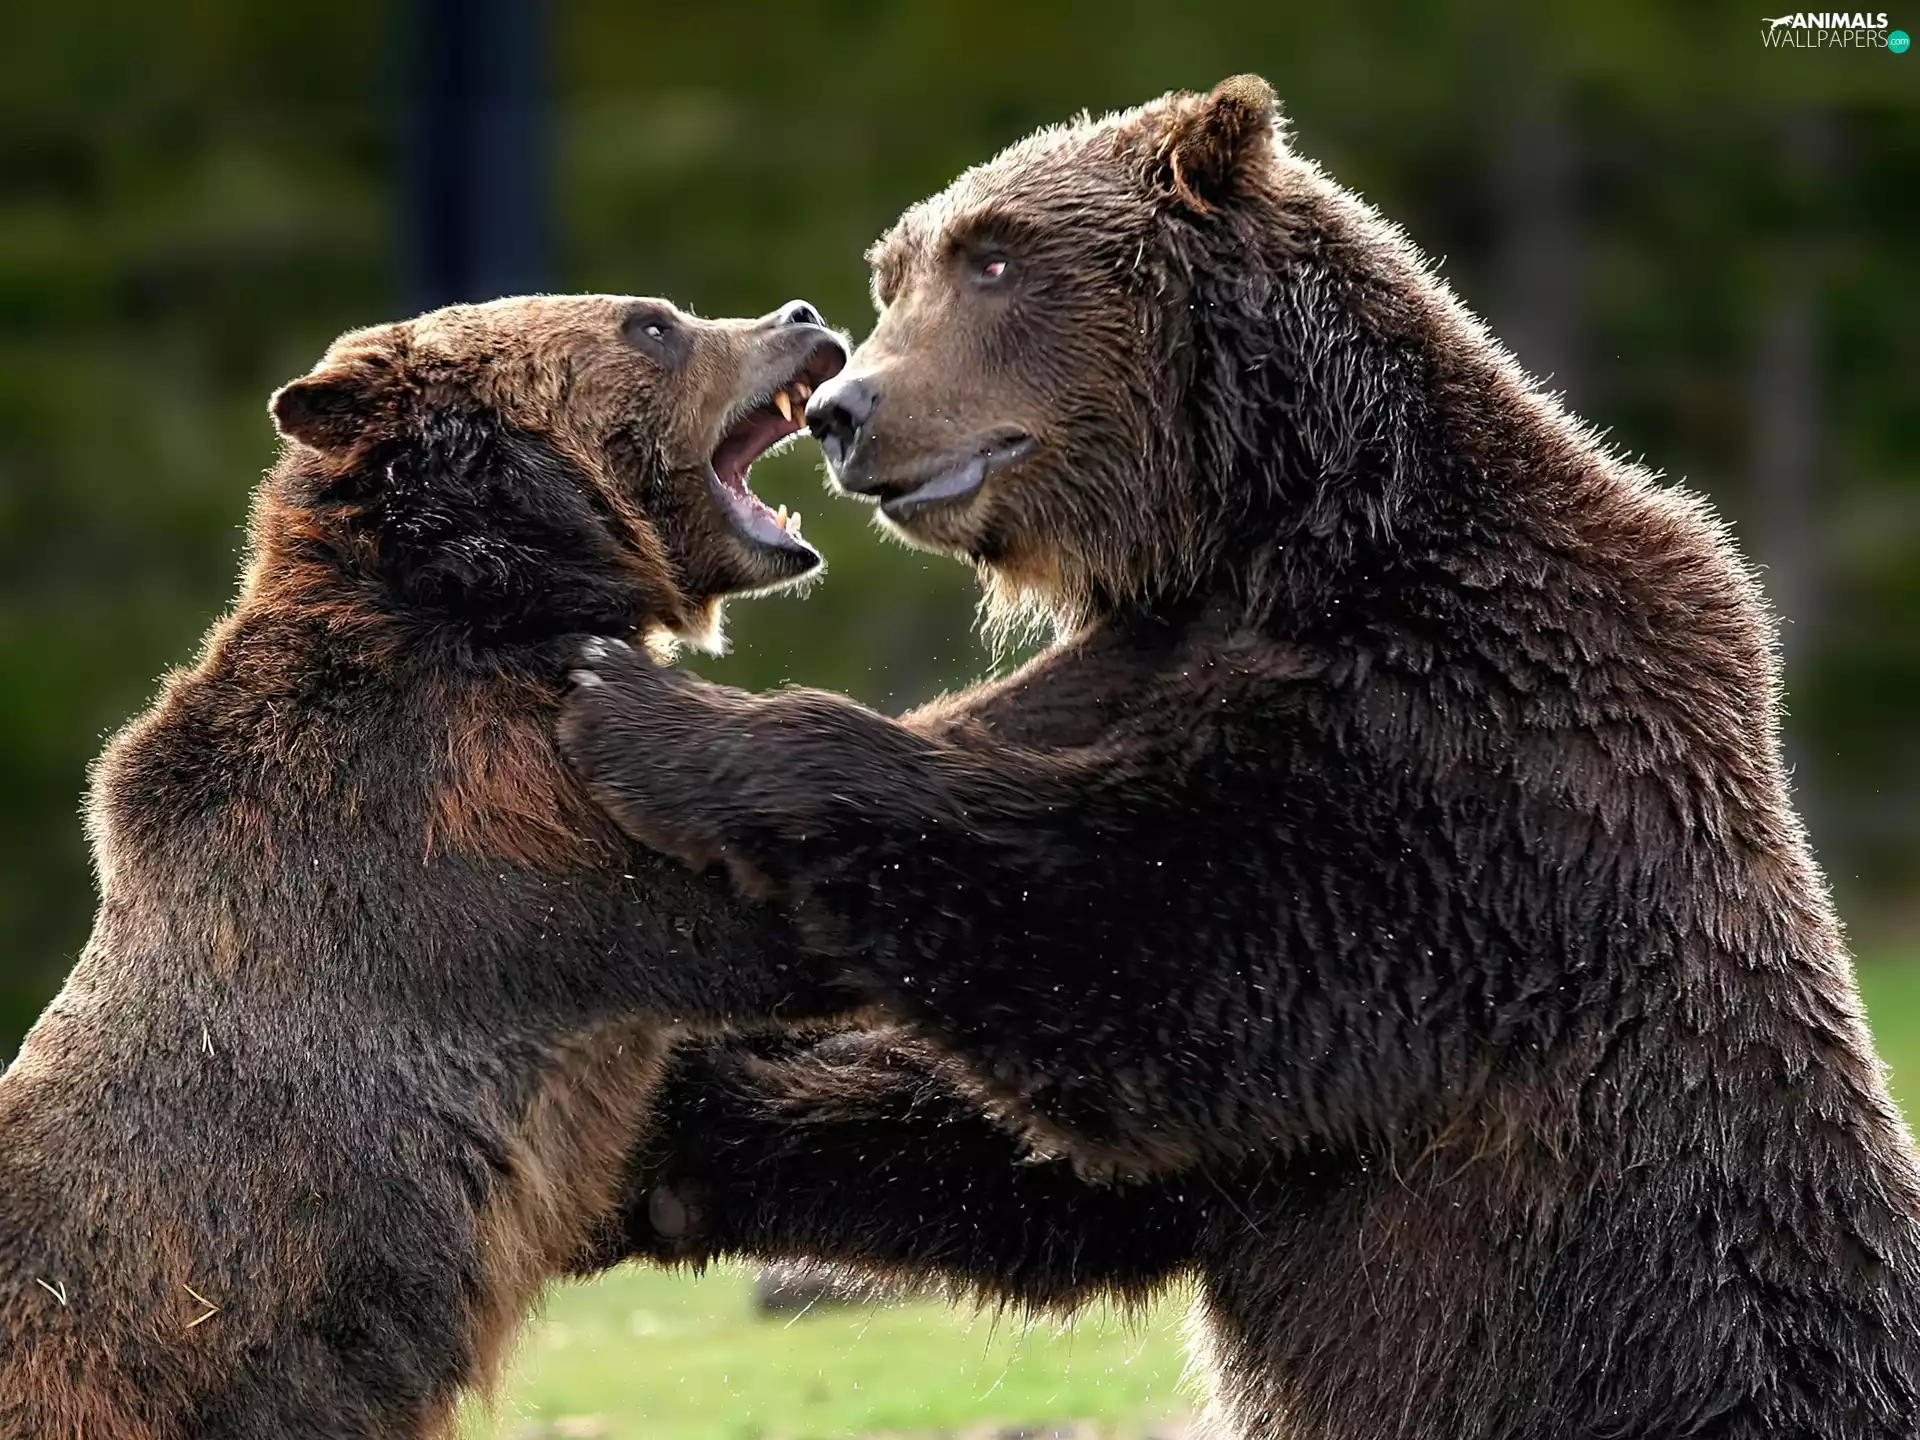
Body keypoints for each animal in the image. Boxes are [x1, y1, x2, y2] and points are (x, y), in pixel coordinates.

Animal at [558, 79, 1920, 1440]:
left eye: (995, 257)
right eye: (897, 274)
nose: (848, 412)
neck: (1277, 540)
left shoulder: (1471, 760)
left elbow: (1171, 952)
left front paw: (646, 709)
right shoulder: (1147, 676)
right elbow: (1057, 1158)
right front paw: (668, 1133)